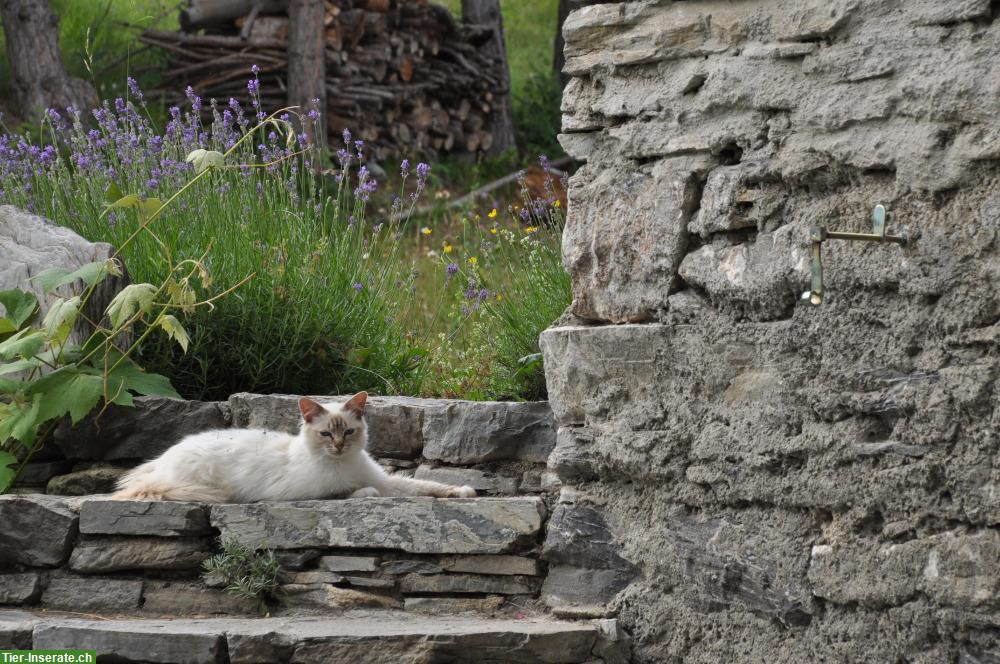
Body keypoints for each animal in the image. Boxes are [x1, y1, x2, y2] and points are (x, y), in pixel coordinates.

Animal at [113, 392, 476, 500]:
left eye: (348, 432)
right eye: (326, 435)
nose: (339, 446)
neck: (343, 464)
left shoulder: (386, 480)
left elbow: (426, 486)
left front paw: (464, 491)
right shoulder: (309, 492)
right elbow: (351, 493)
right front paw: (364, 494)